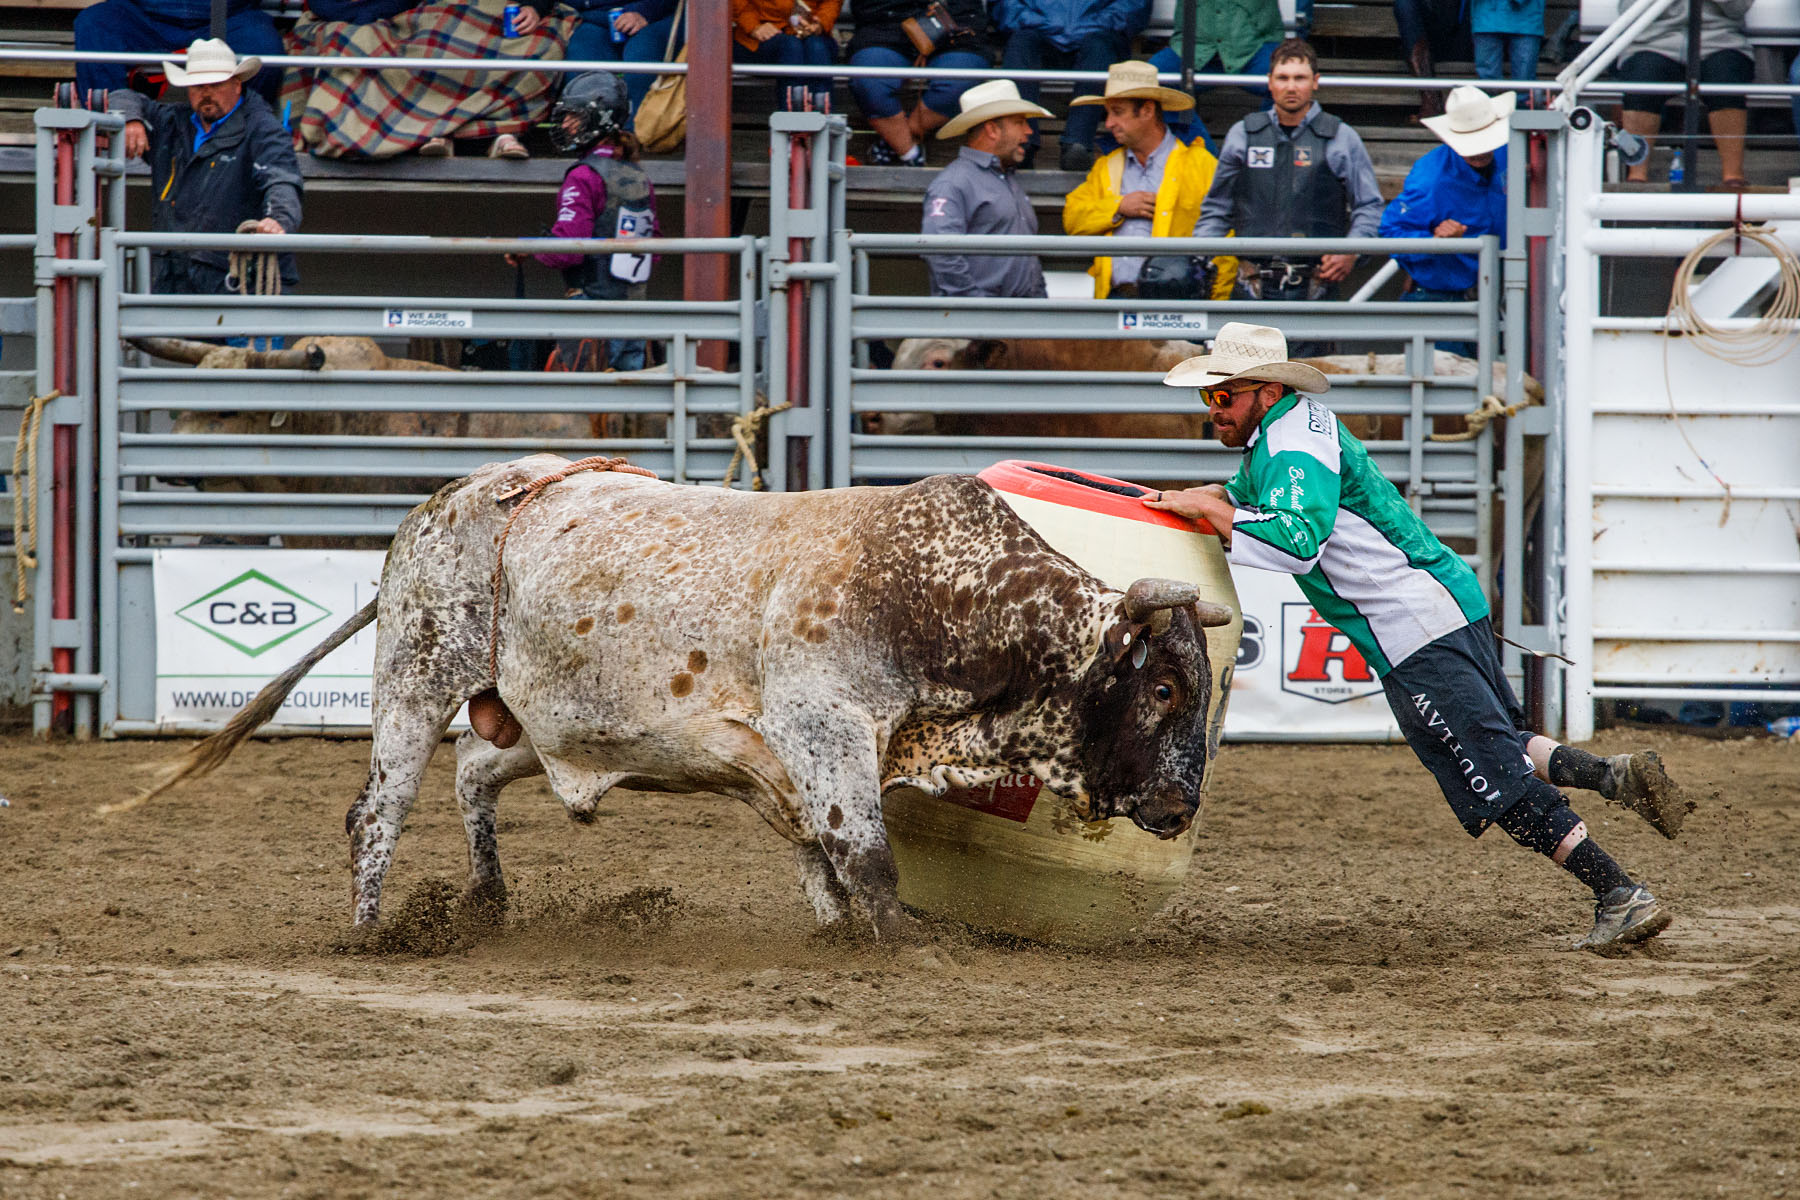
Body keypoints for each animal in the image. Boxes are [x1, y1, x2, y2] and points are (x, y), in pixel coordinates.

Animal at [136, 458, 1235, 941]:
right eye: (1164, 684)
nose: (1181, 806)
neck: (939, 590)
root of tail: (448, 500)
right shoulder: (826, 731)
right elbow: (866, 858)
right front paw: (895, 944)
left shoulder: (804, 760)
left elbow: (820, 848)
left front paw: (833, 929)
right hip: (415, 675)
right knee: (379, 807)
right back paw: (370, 930)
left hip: (543, 720)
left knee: (475, 770)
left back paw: (488, 900)